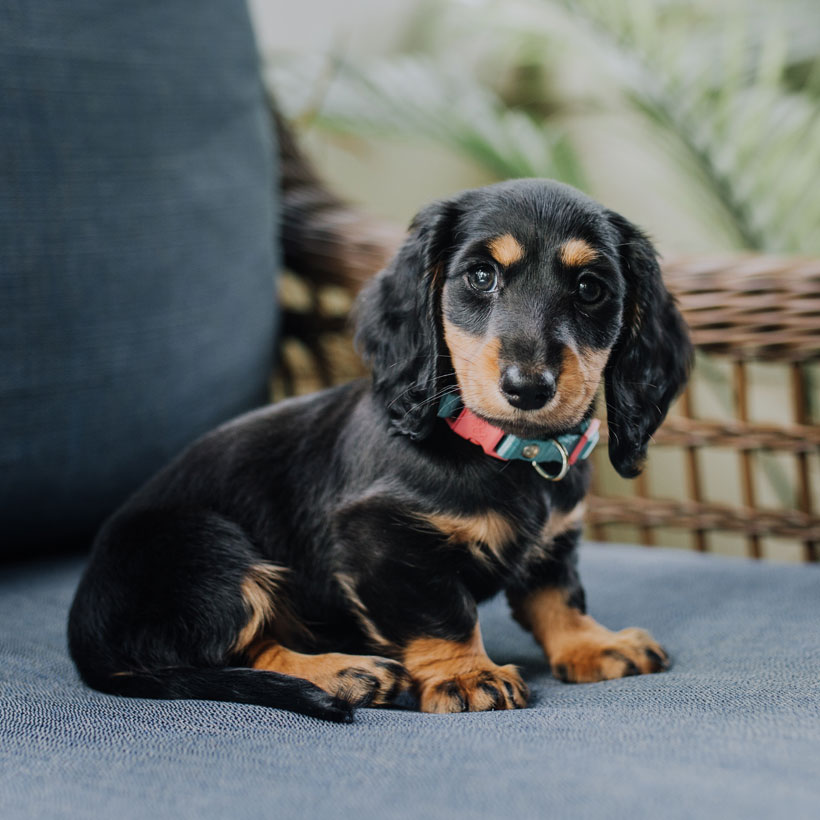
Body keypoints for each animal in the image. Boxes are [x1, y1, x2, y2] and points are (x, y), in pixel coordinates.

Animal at [67, 181, 688, 724]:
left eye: (590, 288)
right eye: (481, 276)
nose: (528, 388)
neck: (501, 448)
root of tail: (84, 636)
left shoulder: (555, 539)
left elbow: (558, 595)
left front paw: (592, 645)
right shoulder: (383, 539)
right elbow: (441, 614)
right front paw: (467, 675)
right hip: (204, 547)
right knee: (235, 649)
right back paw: (345, 673)